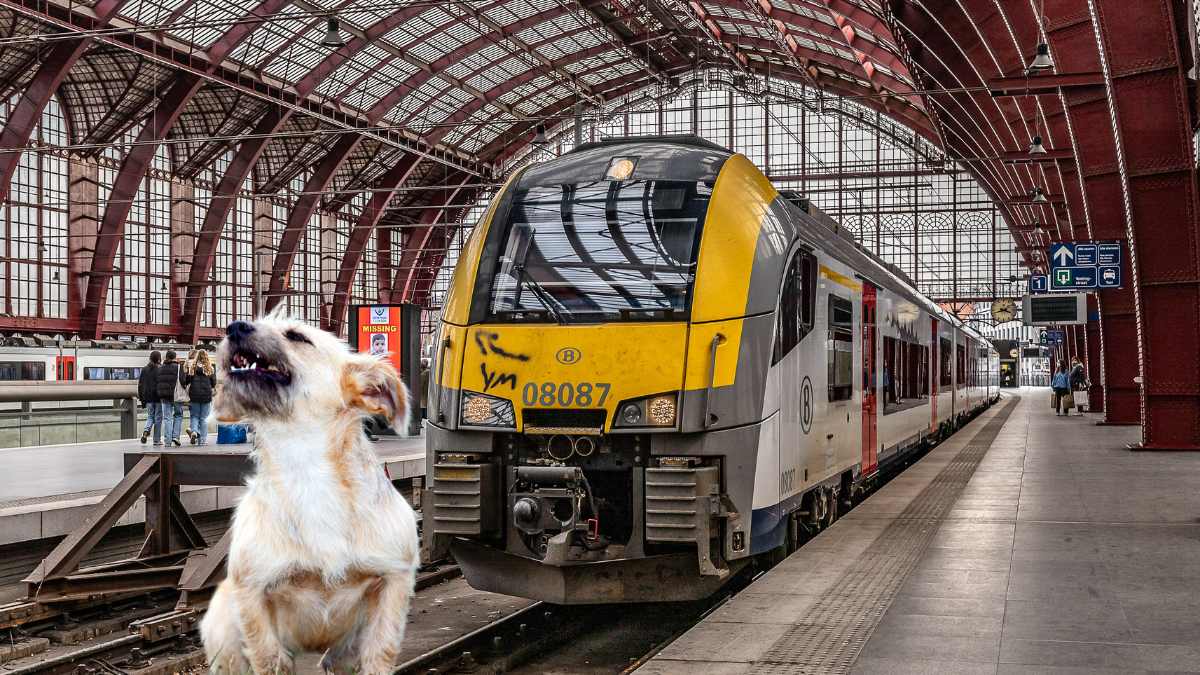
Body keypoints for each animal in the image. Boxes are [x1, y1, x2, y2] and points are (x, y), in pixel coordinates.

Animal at [201, 312, 417, 667]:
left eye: (297, 336)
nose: (234, 326)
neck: (304, 463)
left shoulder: (393, 581)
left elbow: (380, 653)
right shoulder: (251, 593)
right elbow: (268, 658)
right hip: (222, 631)